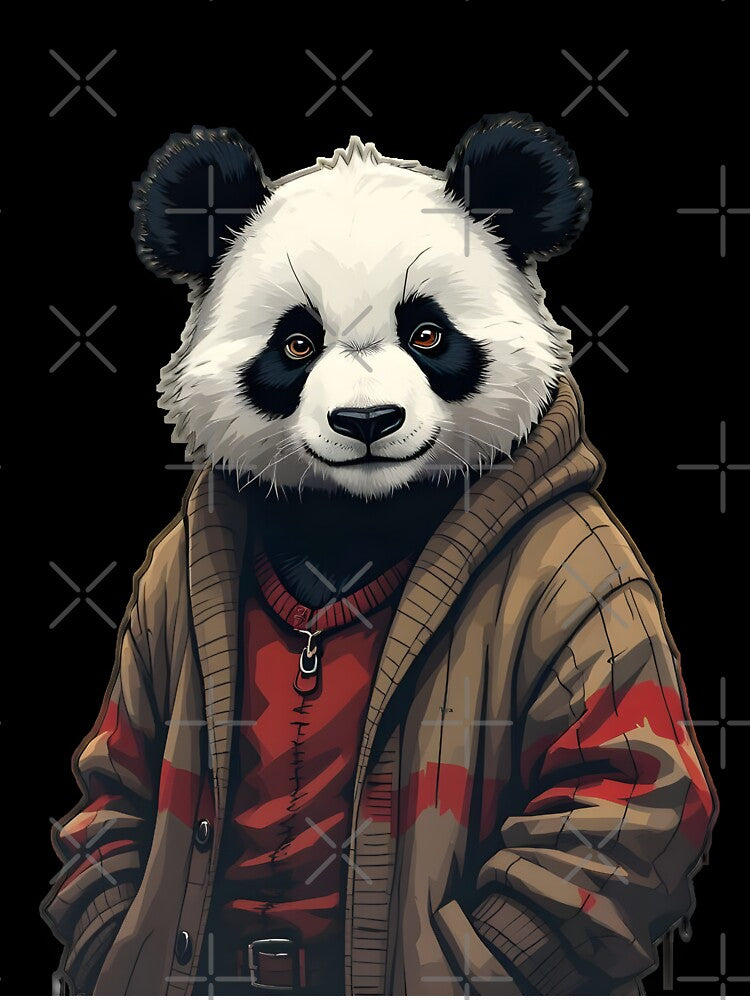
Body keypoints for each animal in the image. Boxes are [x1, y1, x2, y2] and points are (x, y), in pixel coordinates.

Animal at [45, 115, 715, 997]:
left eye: (427, 333)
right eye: (297, 343)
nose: (367, 421)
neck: (358, 516)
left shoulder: (591, 577)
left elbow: (611, 777)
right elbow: (124, 775)